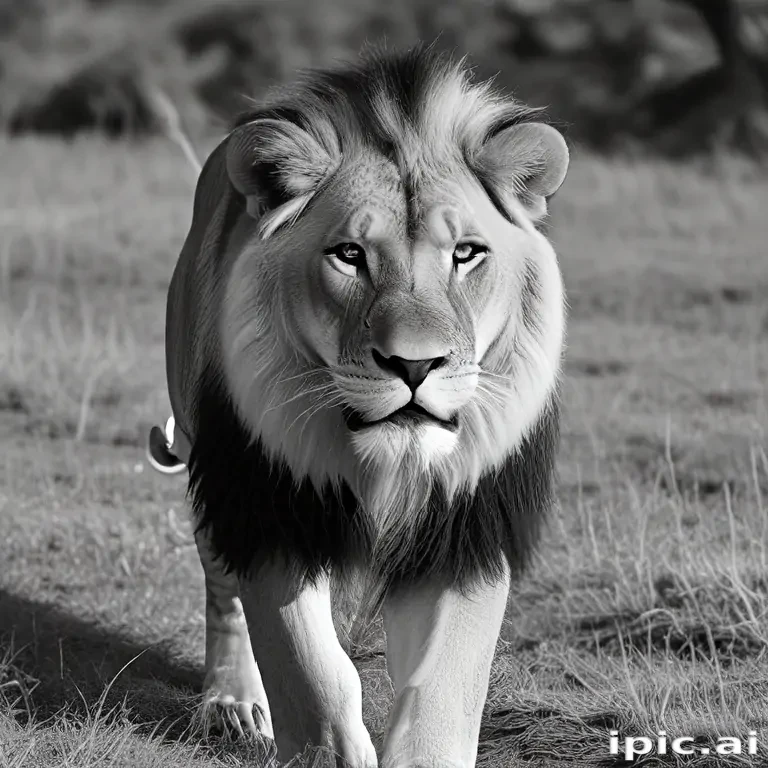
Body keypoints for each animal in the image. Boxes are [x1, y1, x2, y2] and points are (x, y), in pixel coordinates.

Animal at [147, 44, 569, 768]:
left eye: (466, 254)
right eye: (349, 255)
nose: (415, 365)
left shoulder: (463, 531)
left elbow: (441, 691)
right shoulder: (268, 506)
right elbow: (308, 671)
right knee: (223, 591)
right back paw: (233, 704)